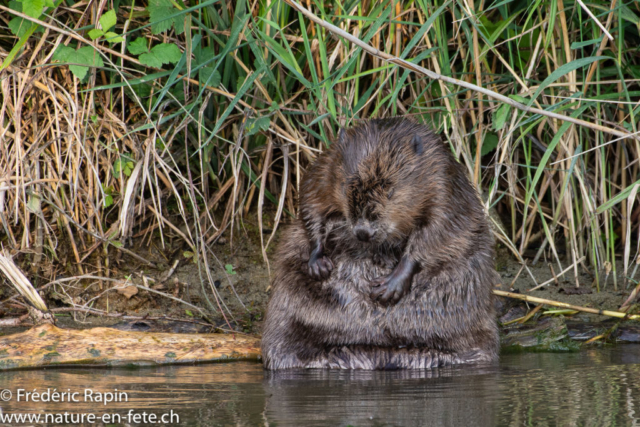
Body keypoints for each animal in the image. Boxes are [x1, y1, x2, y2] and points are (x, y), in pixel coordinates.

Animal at [260, 118, 500, 372]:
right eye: (345, 187)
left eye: (391, 190)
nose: (363, 232)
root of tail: (378, 353)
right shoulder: (325, 166)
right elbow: (310, 201)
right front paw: (318, 262)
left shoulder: (443, 183)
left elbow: (437, 232)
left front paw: (388, 287)